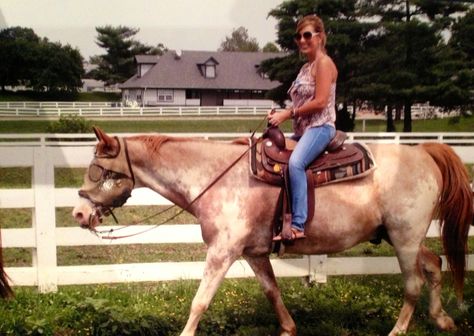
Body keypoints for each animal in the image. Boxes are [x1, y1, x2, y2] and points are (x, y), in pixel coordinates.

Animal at [72, 126, 472, 336]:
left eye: (99, 169)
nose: (78, 213)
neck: (215, 177)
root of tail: (423, 152)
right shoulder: (253, 253)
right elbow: (272, 292)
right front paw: (288, 328)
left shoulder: (222, 252)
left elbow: (200, 301)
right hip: (400, 236)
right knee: (435, 264)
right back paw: (443, 319)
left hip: (404, 238)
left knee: (413, 283)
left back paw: (399, 330)